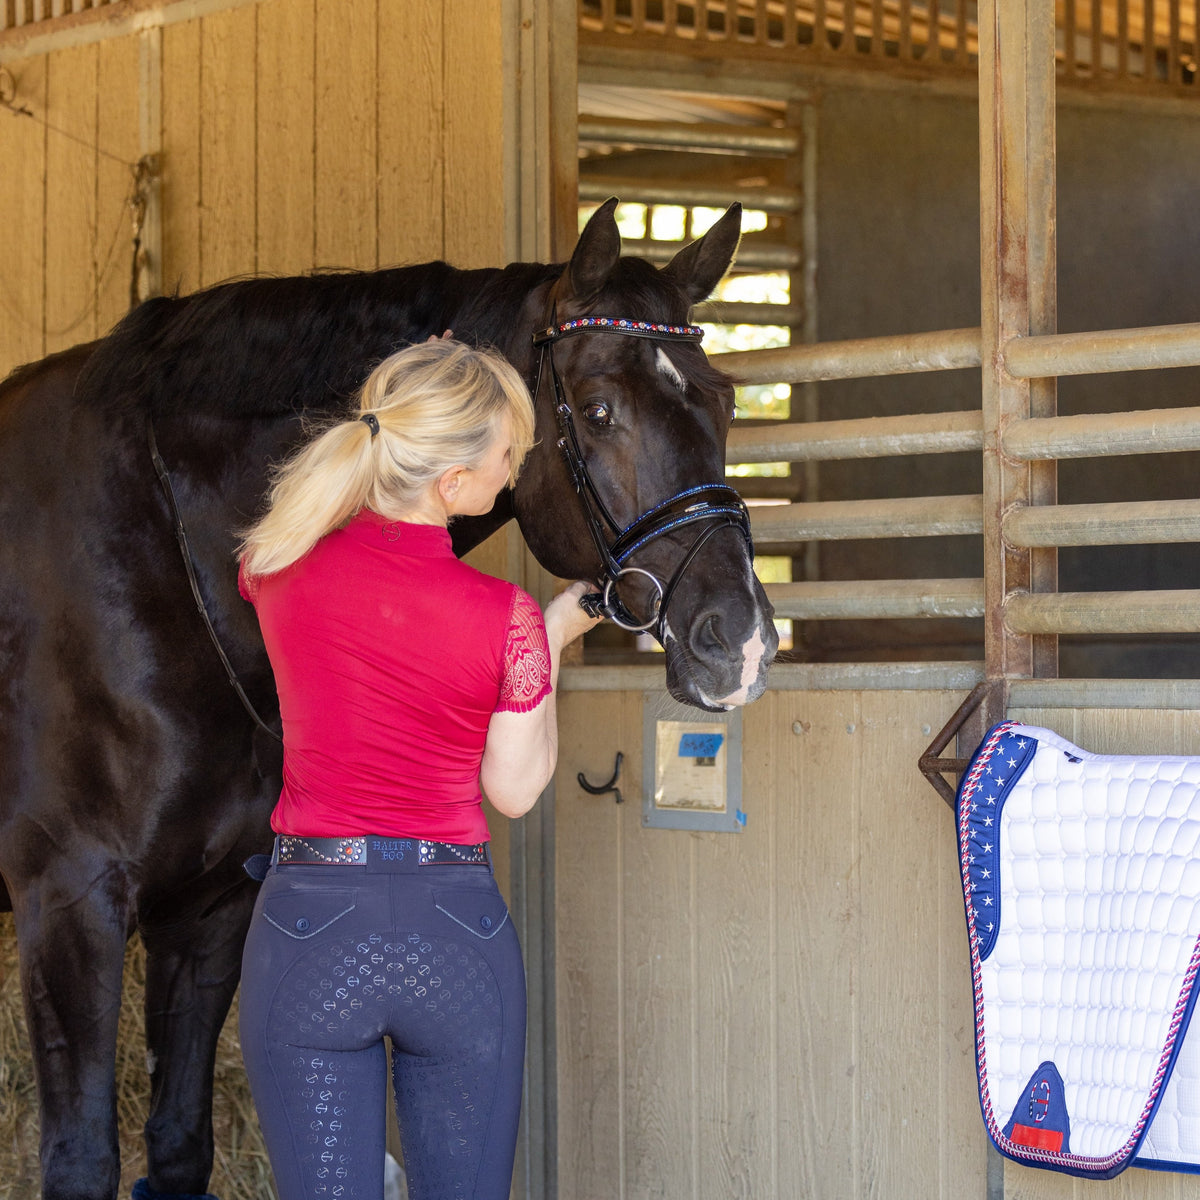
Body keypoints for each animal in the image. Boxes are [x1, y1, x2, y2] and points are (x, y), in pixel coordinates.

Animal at [0, 199, 777, 1200]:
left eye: (723, 403)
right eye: (601, 409)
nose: (741, 641)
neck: (159, 552)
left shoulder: (207, 914)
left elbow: (177, 1146)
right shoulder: (71, 903)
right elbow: (84, 1161)